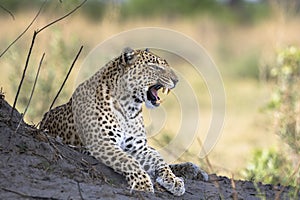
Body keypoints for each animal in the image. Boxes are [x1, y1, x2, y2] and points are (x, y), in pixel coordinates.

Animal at [39, 47, 207, 195]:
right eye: (154, 67)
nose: (176, 80)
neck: (129, 107)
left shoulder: (139, 147)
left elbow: (159, 161)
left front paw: (173, 181)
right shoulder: (102, 143)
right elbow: (129, 161)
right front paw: (143, 184)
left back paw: (194, 170)